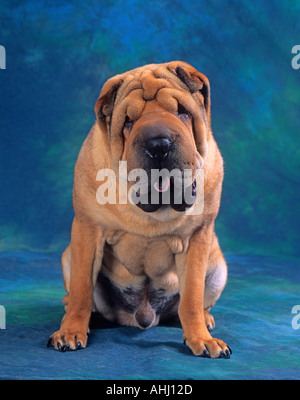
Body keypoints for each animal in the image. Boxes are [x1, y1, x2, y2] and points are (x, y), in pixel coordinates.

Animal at [47, 61, 232, 360]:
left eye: (181, 111)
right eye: (128, 122)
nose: (158, 144)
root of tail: (144, 316)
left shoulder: (197, 238)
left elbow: (192, 297)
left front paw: (201, 338)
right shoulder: (88, 230)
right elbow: (81, 290)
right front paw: (71, 331)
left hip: (218, 268)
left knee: (195, 303)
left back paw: (205, 319)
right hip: (67, 256)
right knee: (78, 296)